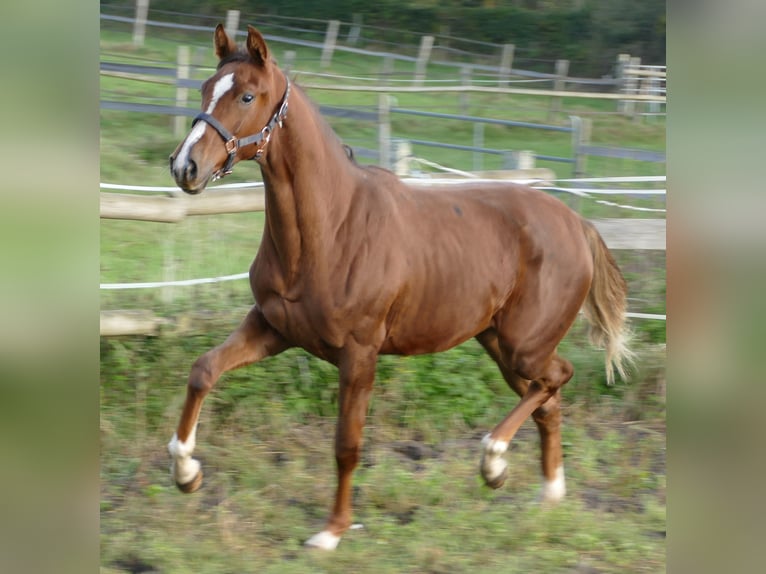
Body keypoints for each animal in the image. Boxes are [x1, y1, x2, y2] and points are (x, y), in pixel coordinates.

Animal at [168, 24, 636, 552]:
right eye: (206, 88)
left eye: (247, 96)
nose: (185, 166)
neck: (330, 229)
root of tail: (577, 223)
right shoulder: (272, 328)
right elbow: (203, 370)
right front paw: (187, 473)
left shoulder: (359, 353)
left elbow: (347, 445)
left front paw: (331, 531)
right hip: (501, 345)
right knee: (548, 400)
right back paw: (544, 493)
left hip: (525, 346)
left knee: (558, 378)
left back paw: (494, 459)